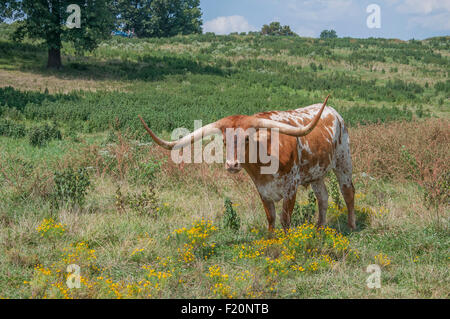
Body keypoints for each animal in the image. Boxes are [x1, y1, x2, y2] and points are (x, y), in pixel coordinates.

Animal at [139, 95, 356, 232]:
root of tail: (333, 112)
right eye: (224, 141)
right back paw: (320, 228)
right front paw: (271, 240)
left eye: (246, 138)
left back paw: (351, 226)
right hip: (315, 173)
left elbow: (285, 219)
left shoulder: (291, 187)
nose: (232, 164)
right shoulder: (262, 190)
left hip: (343, 161)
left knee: (348, 192)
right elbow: (271, 218)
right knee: (323, 197)